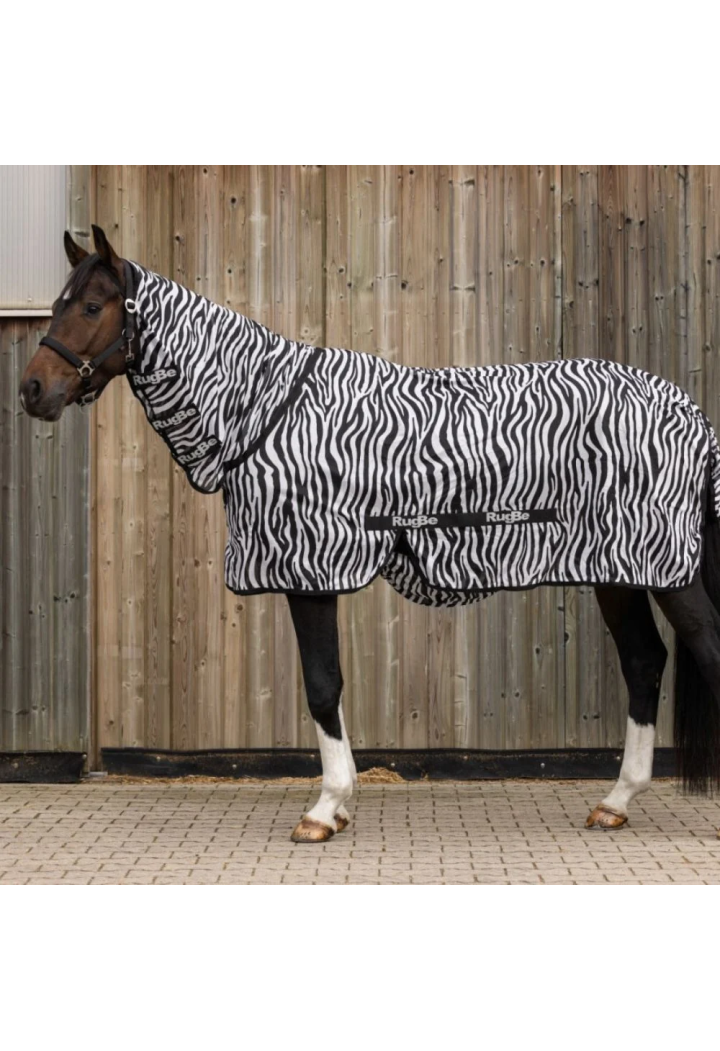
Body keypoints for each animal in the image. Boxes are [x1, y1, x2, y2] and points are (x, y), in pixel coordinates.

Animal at [20, 224, 720, 843]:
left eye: (91, 306)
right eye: (55, 304)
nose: (32, 390)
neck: (266, 412)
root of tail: (688, 411)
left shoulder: (311, 569)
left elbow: (322, 685)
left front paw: (326, 808)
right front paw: (338, 805)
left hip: (662, 568)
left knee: (701, 648)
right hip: (619, 570)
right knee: (644, 662)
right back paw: (615, 802)